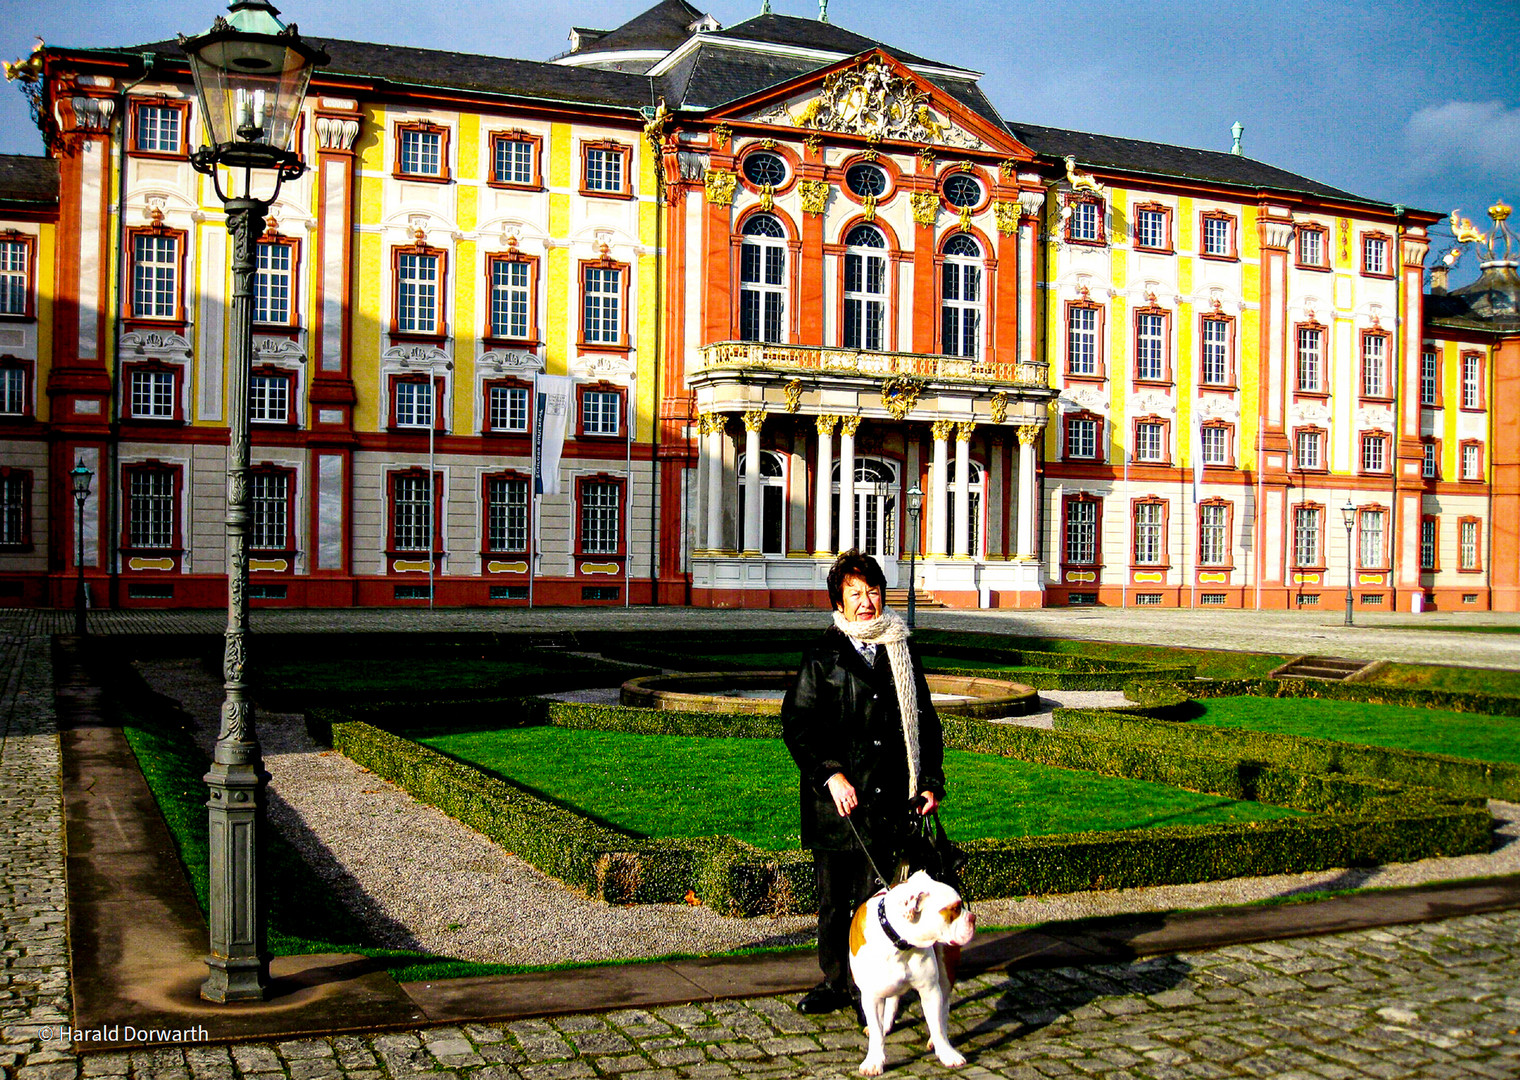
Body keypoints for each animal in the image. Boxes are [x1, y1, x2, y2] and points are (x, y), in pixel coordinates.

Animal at [845, 874, 972, 1075]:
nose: (972, 917)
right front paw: (874, 1061)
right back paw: (885, 1025)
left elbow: (936, 1023)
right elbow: (876, 1031)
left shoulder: (930, 990)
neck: (899, 942)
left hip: (945, 973)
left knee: (943, 1007)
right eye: (955, 909)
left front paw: (946, 1052)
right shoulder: (871, 997)